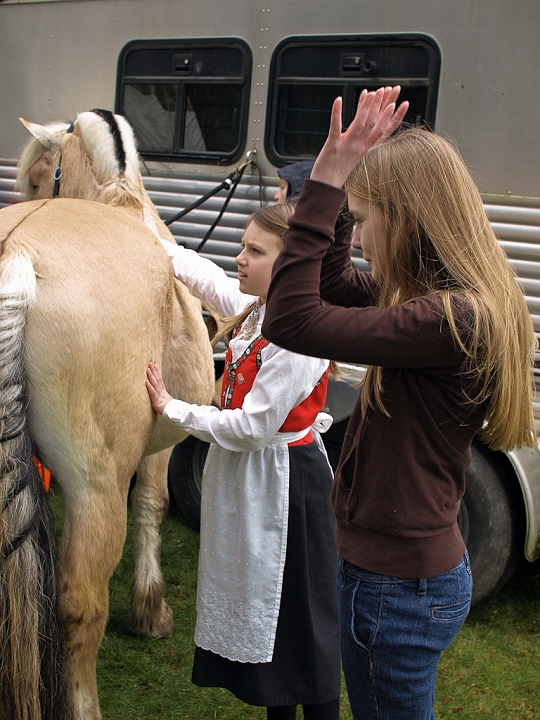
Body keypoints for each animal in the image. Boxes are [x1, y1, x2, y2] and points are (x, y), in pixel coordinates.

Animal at [0, 108, 215, 720]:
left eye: (34, 179)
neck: (120, 200)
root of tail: (18, 257)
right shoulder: (165, 443)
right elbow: (152, 505)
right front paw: (150, 610)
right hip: (95, 488)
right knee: (79, 606)